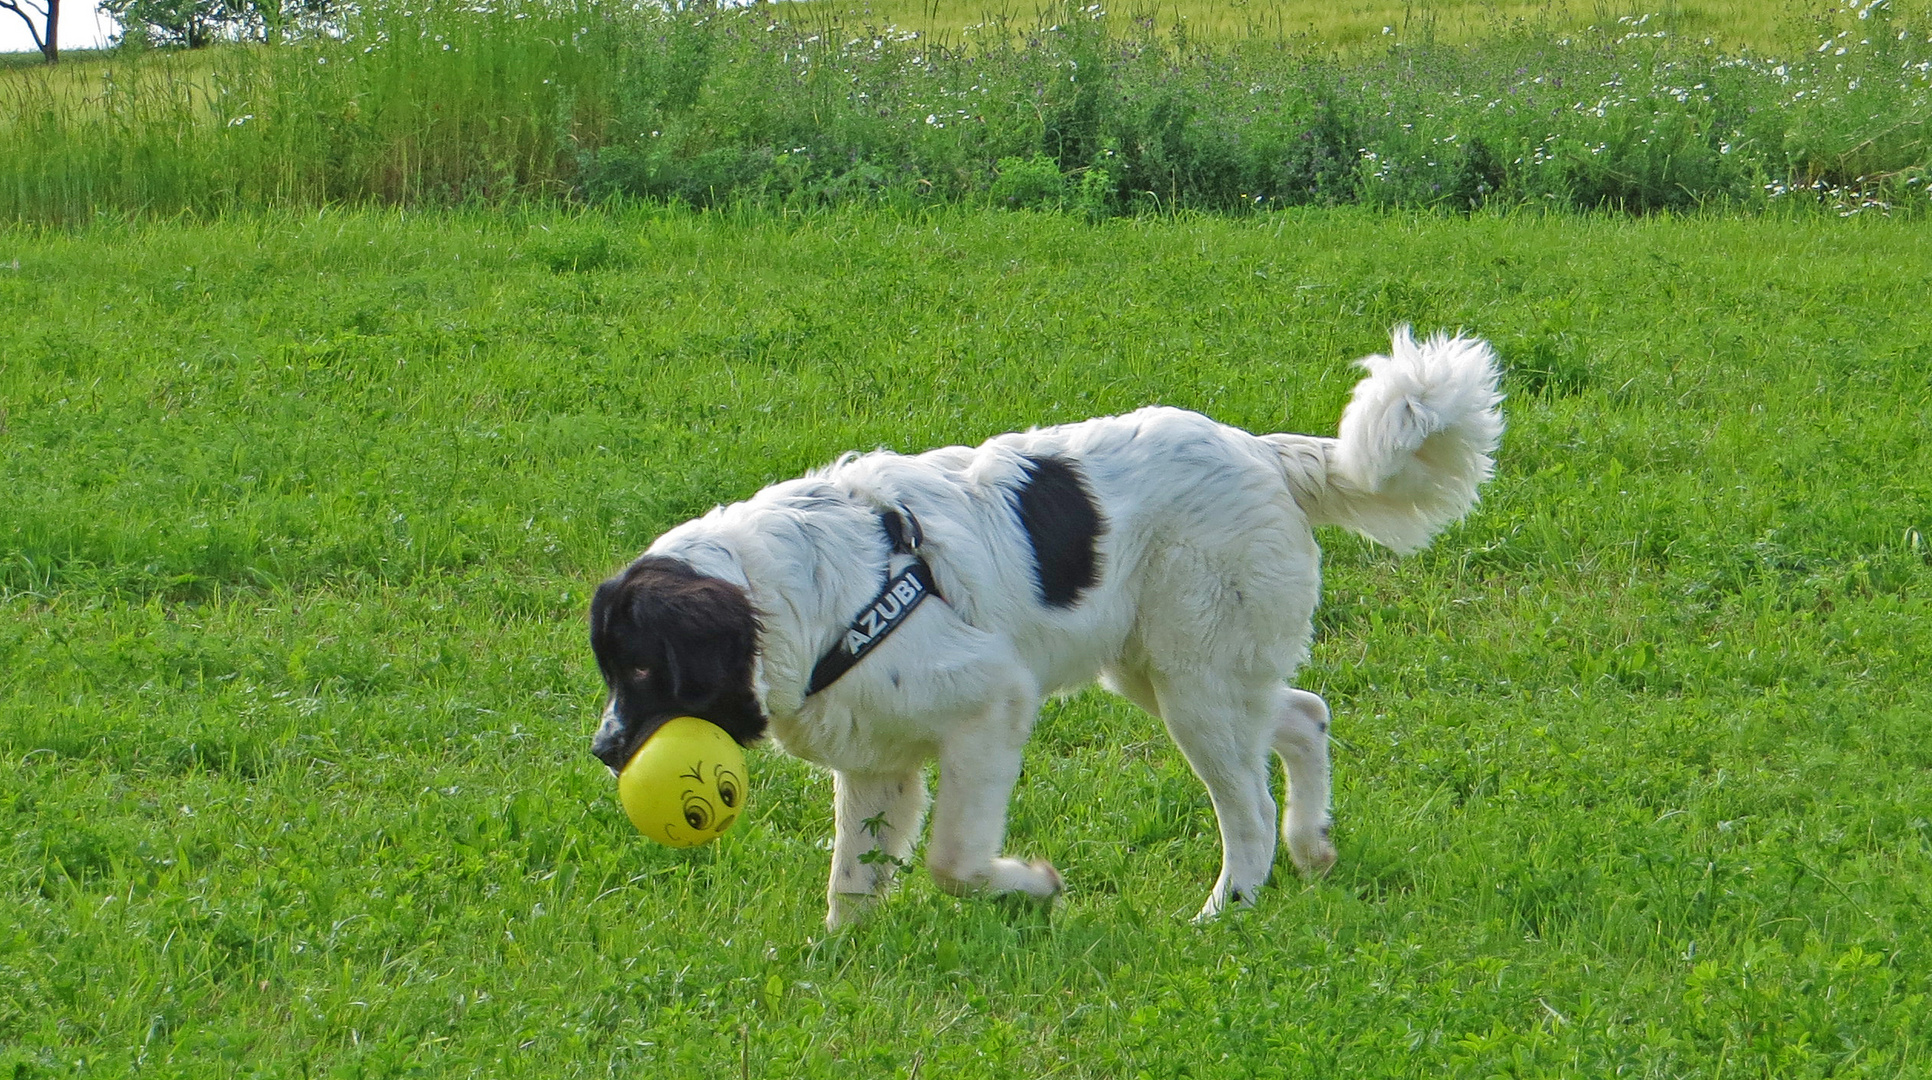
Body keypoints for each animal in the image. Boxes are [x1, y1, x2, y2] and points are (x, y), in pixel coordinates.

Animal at [591, 330, 1506, 931]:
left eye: (640, 671)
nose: (604, 750)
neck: (801, 590)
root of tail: (1260, 451)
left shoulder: (988, 709)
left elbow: (953, 863)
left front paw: (1031, 887)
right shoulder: (878, 762)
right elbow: (851, 880)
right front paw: (837, 964)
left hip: (1196, 688)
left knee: (1245, 801)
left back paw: (1228, 907)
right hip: (1174, 673)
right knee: (1303, 716)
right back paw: (1311, 845)